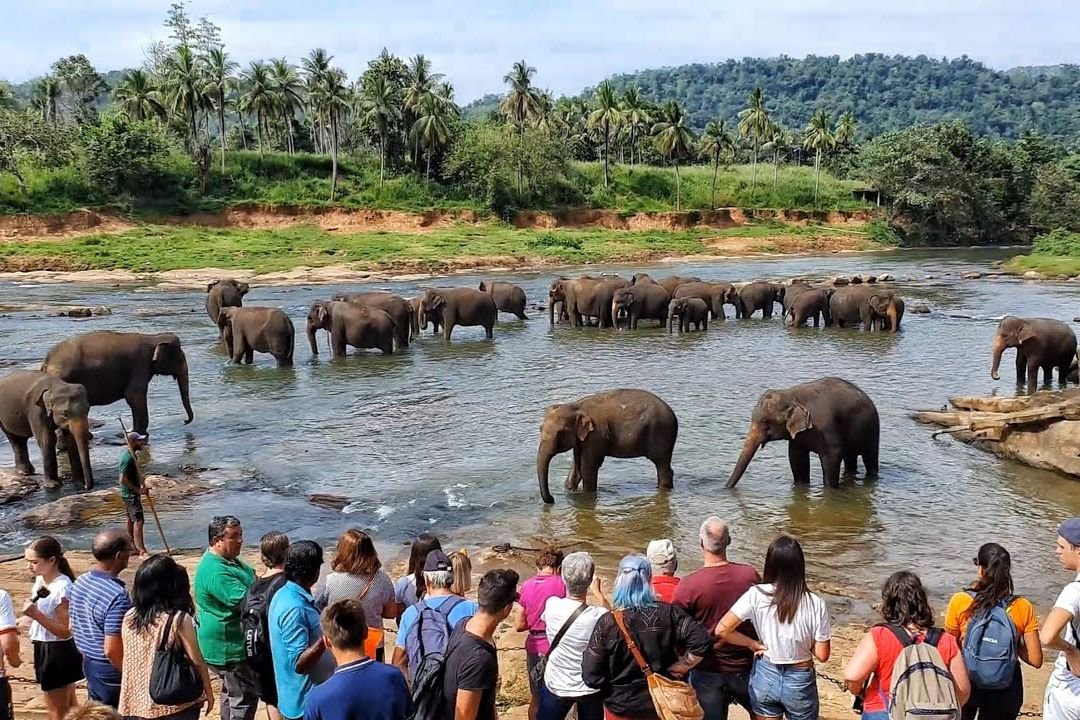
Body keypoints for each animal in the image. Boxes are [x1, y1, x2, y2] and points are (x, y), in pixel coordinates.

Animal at [42, 332, 193, 437]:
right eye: (180, 359)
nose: (185, 421)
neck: (154, 338)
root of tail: (46, 361)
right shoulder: (140, 364)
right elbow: (133, 395)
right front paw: (139, 433)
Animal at [536, 389, 678, 504]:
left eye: (560, 433)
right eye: (540, 428)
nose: (552, 499)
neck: (575, 406)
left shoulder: (596, 436)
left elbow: (588, 467)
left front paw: (586, 498)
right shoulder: (582, 439)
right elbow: (577, 468)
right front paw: (571, 491)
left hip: (662, 434)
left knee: (662, 466)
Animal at [727, 377, 880, 489]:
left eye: (765, 422)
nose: (727, 487)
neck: (790, 394)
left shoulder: (826, 428)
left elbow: (831, 457)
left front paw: (830, 489)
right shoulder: (797, 437)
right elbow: (796, 457)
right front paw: (801, 487)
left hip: (872, 431)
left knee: (870, 458)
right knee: (850, 460)